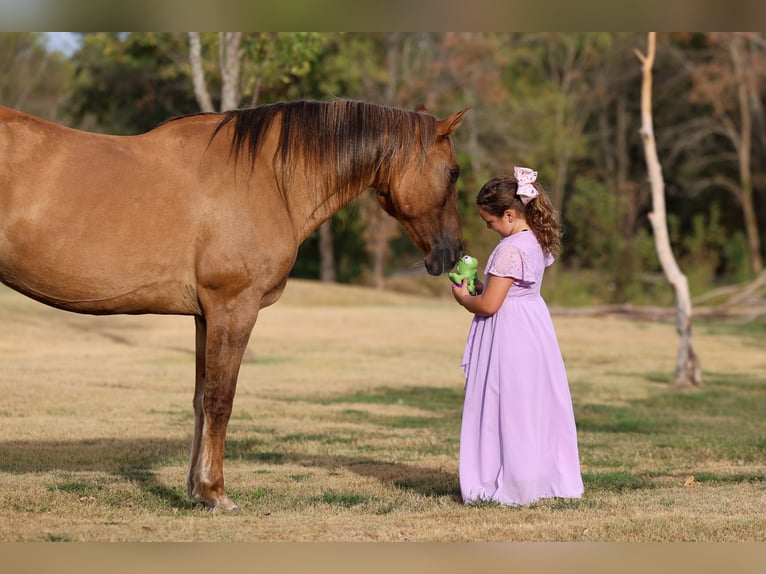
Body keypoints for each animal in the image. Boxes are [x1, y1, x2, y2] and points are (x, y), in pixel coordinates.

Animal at [0, 99, 468, 512]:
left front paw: (195, 490)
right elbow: (221, 400)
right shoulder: (233, 306)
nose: (452, 254)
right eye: (454, 172)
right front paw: (215, 493)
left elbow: (200, 399)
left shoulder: (203, 316)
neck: (267, 177)